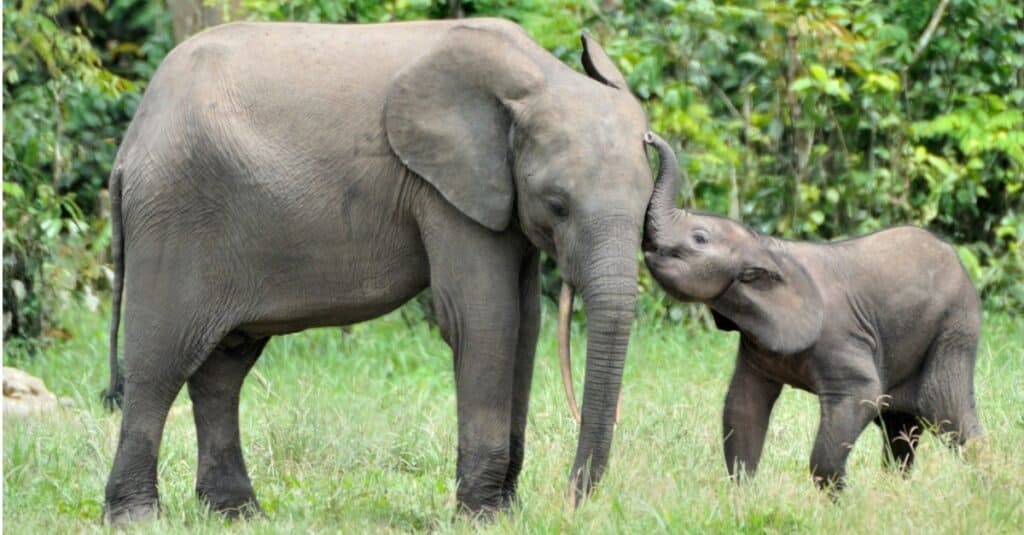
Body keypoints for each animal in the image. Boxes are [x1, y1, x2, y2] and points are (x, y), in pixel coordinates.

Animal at [99, 18, 651, 522]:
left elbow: (526, 326)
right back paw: (137, 518)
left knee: (222, 370)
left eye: (648, 202)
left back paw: (238, 514)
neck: (536, 78)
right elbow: (485, 319)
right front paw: (483, 518)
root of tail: (129, 148)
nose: (571, 500)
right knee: (159, 363)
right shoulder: (443, 189)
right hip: (174, 215)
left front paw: (506, 513)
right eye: (558, 205)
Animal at [638, 132, 983, 487]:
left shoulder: (840, 338)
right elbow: (742, 406)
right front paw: (742, 493)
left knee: (949, 415)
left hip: (953, 329)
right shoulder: (758, 343)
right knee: (899, 427)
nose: (649, 137)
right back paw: (895, 490)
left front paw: (837, 496)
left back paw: (984, 483)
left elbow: (861, 395)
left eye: (699, 238)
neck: (767, 247)